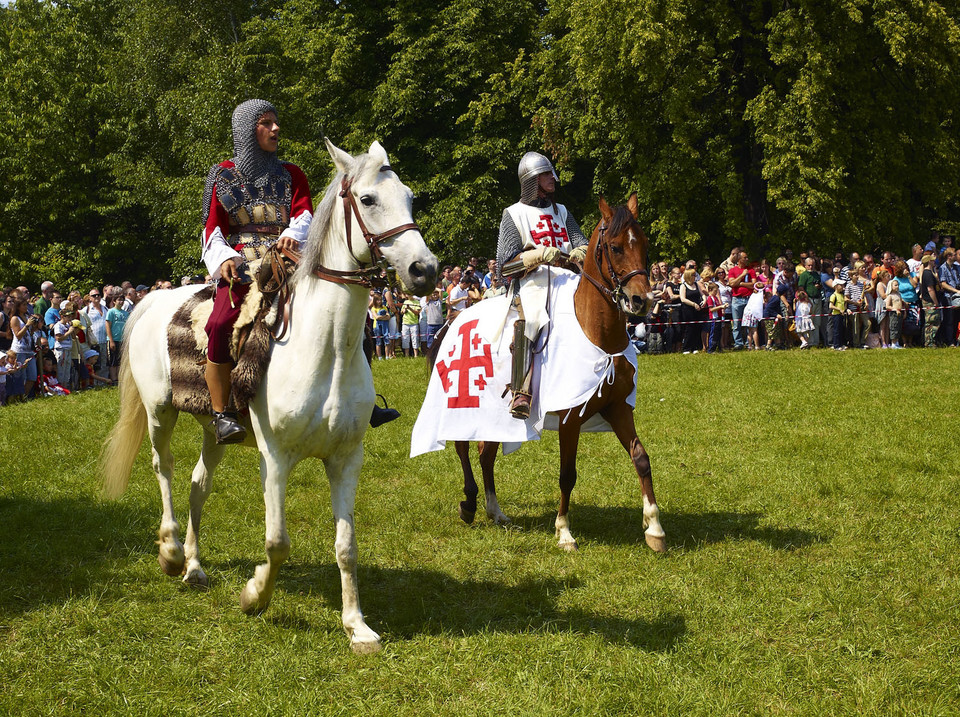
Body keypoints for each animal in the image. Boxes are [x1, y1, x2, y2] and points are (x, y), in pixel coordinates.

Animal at [101, 137, 438, 652]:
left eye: (410, 198)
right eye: (367, 200)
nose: (424, 271)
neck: (323, 349)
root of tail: (152, 299)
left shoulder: (346, 458)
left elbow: (346, 546)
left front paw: (357, 626)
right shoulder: (275, 457)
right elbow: (277, 543)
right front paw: (254, 596)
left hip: (214, 428)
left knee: (199, 483)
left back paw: (194, 566)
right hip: (161, 413)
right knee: (165, 470)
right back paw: (172, 553)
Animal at [440, 194, 660, 552]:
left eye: (643, 243)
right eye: (614, 247)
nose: (641, 300)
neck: (595, 332)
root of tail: (452, 320)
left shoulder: (617, 408)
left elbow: (641, 458)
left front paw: (654, 528)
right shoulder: (571, 418)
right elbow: (567, 474)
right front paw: (564, 531)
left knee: (486, 454)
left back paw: (494, 511)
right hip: (462, 401)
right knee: (463, 446)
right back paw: (470, 504)